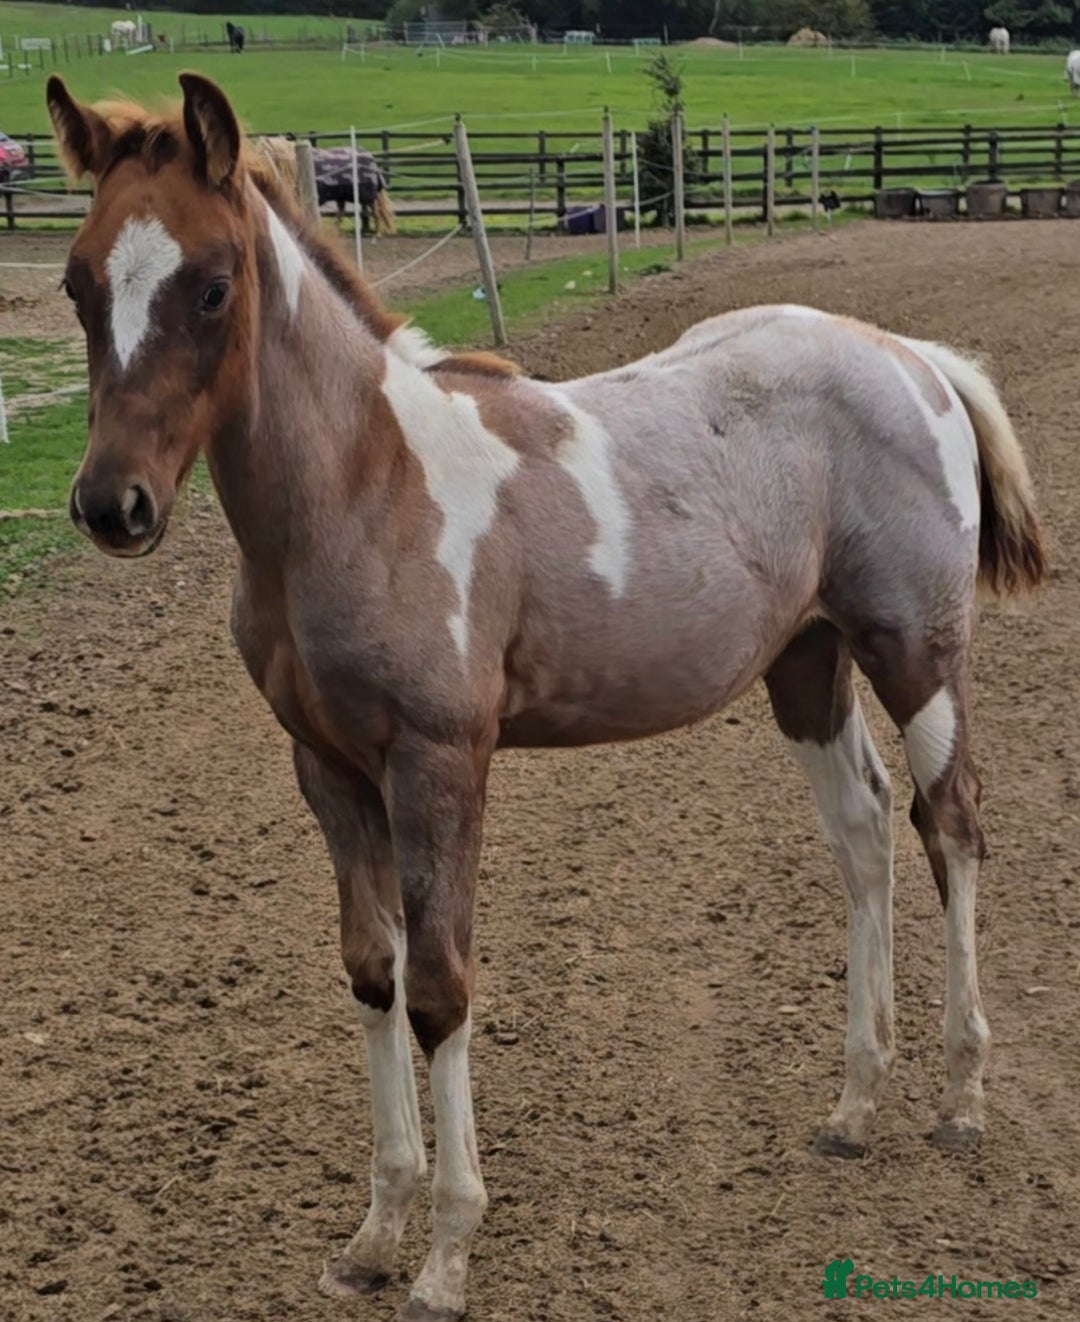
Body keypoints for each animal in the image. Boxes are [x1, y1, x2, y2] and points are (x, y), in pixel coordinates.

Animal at [46, 72, 1045, 1322]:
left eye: (214, 283)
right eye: (79, 280)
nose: (111, 504)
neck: (365, 488)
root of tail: (912, 356)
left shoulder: (440, 760)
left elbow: (439, 988)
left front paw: (443, 1258)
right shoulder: (328, 768)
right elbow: (372, 972)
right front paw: (374, 1232)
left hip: (916, 650)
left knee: (949, 824)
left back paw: (960, 1099)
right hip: (806, 661)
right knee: (864, 833)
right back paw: (856, 1104)